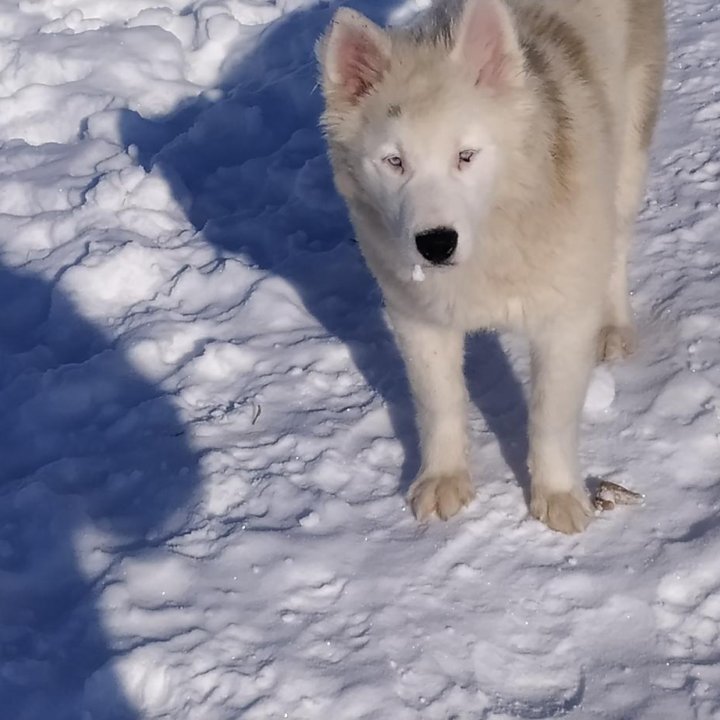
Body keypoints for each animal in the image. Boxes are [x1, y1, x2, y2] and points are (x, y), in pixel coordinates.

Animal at [318, 0, 668, 528]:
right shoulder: (416, 315)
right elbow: (439, 401)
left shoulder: (563, 318)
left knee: (617, 242)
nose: (435, 244)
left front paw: (558, 496)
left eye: (466, 156)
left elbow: (550, 414)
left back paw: (613, 327)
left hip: (629, 144)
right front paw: (443, 480)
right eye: (394, 162)